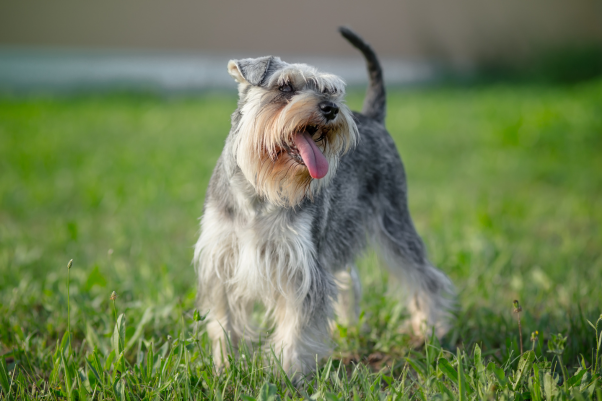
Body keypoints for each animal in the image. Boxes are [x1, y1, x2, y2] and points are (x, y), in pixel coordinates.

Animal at [195, 26, 452, 376]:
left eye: (329, 90)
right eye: (285, 86)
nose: (331, 108)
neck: (259, 193)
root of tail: (374, 118)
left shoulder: (302, 267)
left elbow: (296, 326)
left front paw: (285, 373)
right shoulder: (221, 262)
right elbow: (224, 322)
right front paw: (225, 366)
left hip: (394, 223)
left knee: (424, 277)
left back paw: (429, 329)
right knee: (349, 280)